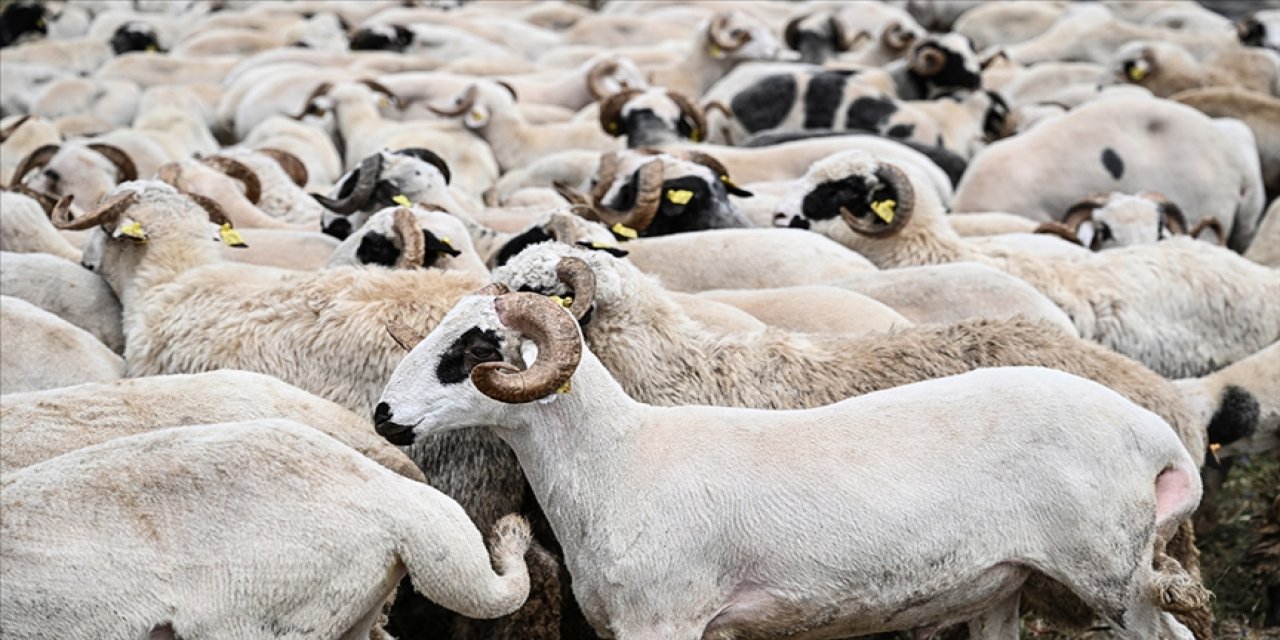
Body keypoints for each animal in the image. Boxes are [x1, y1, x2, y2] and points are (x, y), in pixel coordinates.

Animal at [378, 290, 1208, 640]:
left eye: (475, 348)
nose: (384, 416)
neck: (620, 460)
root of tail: (1154, 435)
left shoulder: (665, 620)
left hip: (1111, 573)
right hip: (1006, 581)